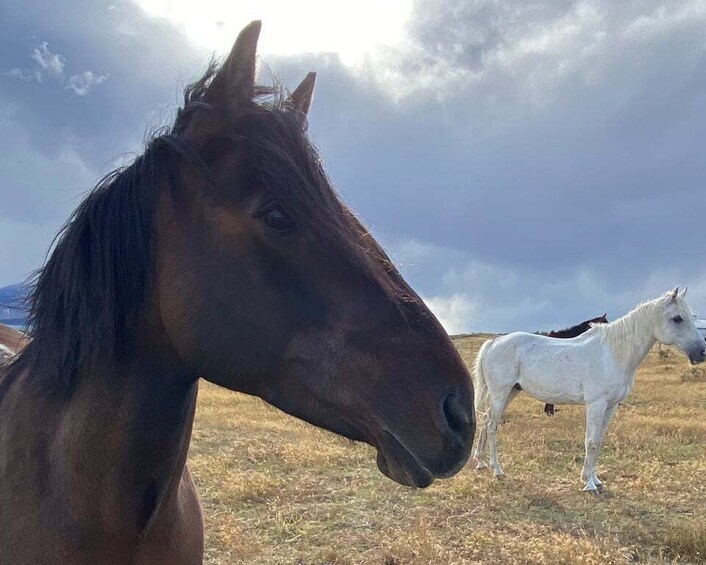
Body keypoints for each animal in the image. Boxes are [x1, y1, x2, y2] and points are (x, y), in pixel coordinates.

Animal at [470, 288, 700, 492]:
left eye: (692, 317)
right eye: (677, 318)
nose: (701, 352)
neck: (612, 354)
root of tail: (494, 342)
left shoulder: (611, 407)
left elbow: (598, 441)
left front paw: (595, 480)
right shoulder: (596, 405)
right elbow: (591, 441)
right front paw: (588, 484)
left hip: (511, 392)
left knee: (486, 421)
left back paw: (480, 462)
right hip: (500, 393)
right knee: (492, 426)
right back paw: (497, 470)